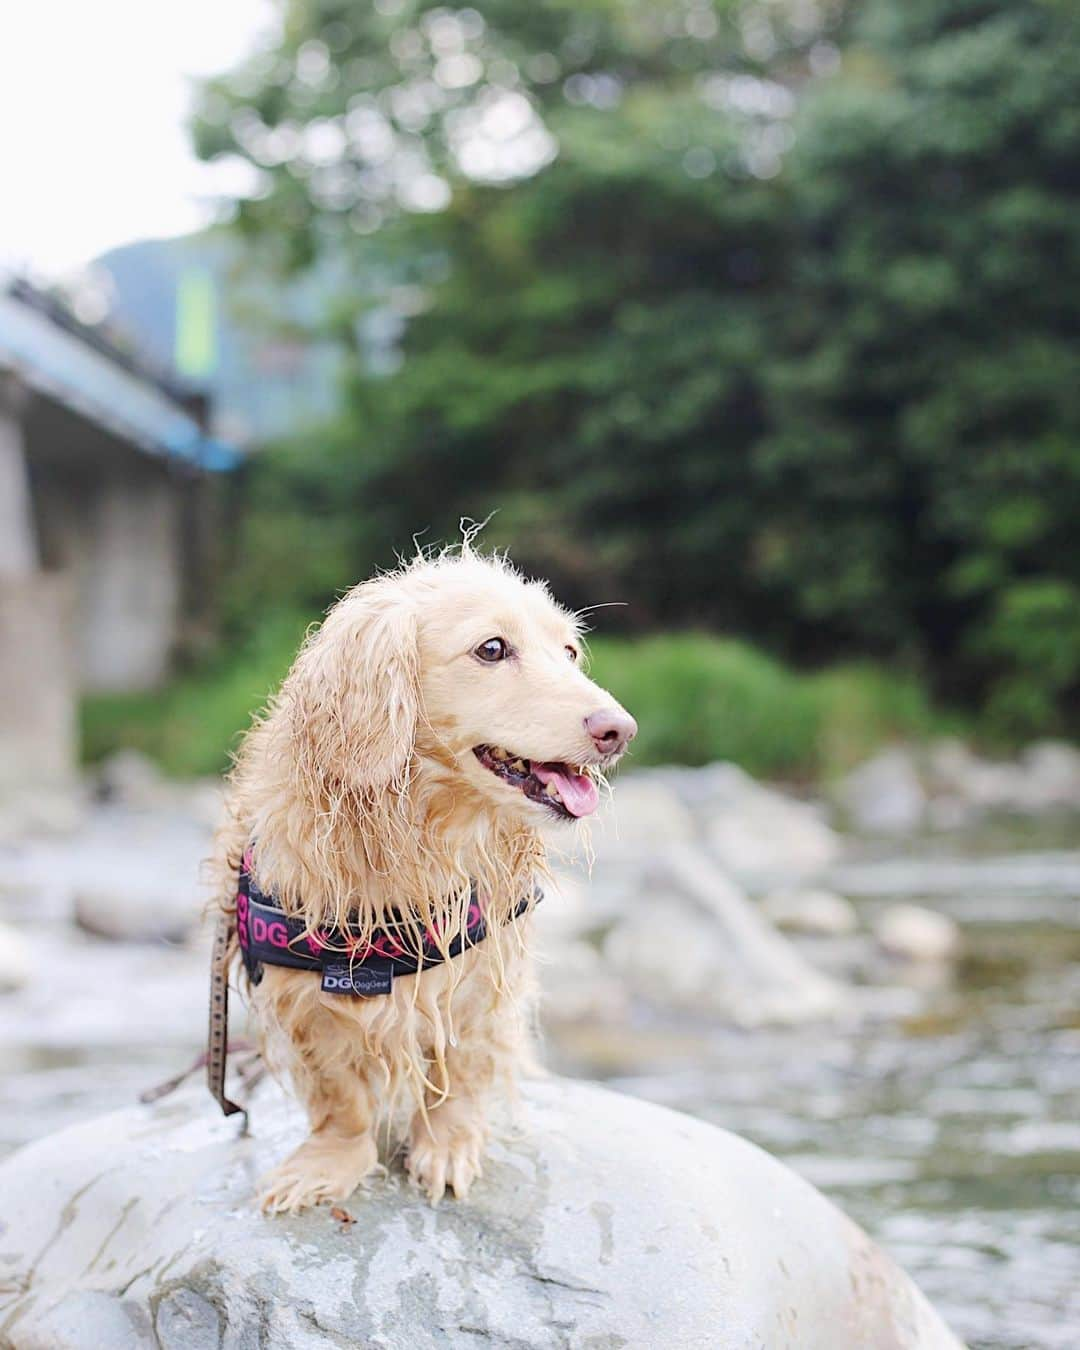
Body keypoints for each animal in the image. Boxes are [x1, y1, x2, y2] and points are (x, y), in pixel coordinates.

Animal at [209, 545, 631, 1215]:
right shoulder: (302, 996)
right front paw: (329, 1161)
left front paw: (447, 1145)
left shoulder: (481, 974)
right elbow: (340, 1095)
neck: (416, 832)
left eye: (568, 652)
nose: (620, 729)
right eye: (492, 648)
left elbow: (459, 1065)